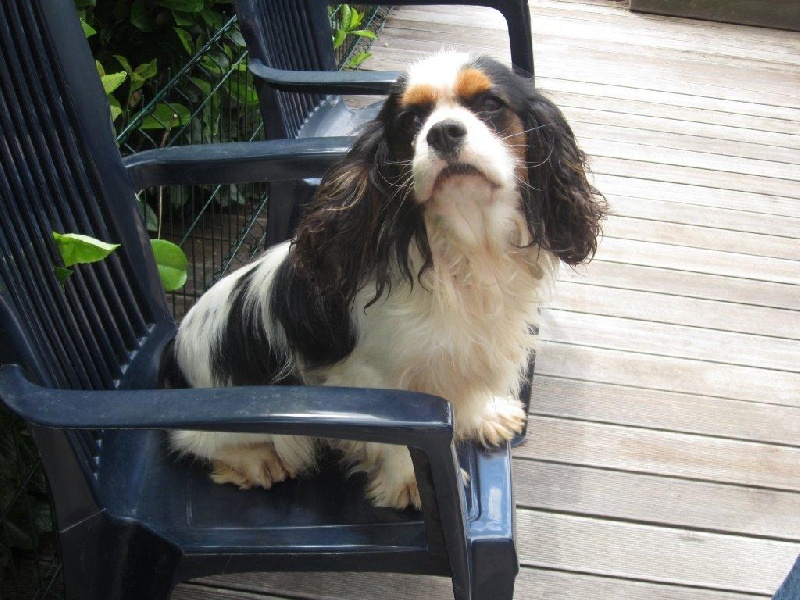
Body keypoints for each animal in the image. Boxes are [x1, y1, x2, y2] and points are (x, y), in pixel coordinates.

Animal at [164, 51, 606, 510]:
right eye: (412, 120)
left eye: (489, 104)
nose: (443, 132)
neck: (465, 243)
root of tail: (171, 353)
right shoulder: (372, 377)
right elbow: (396, 443)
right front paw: (409, 483)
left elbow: (467, 390)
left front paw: (486, 415)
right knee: (196, 441)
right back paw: (257, 462)